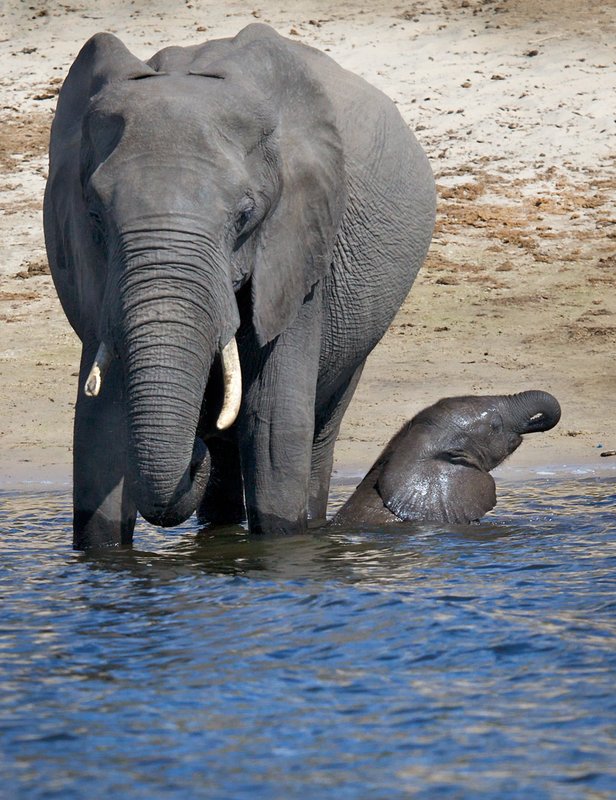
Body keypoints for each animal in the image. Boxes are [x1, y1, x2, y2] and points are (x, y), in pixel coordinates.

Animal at [43, 24, 436, 549]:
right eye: (94, 216)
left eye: (245, 216)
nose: (194, 451)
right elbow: (99, 427)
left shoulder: (300, 244)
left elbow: (273, 423)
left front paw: (283, 543)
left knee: (317, 429)